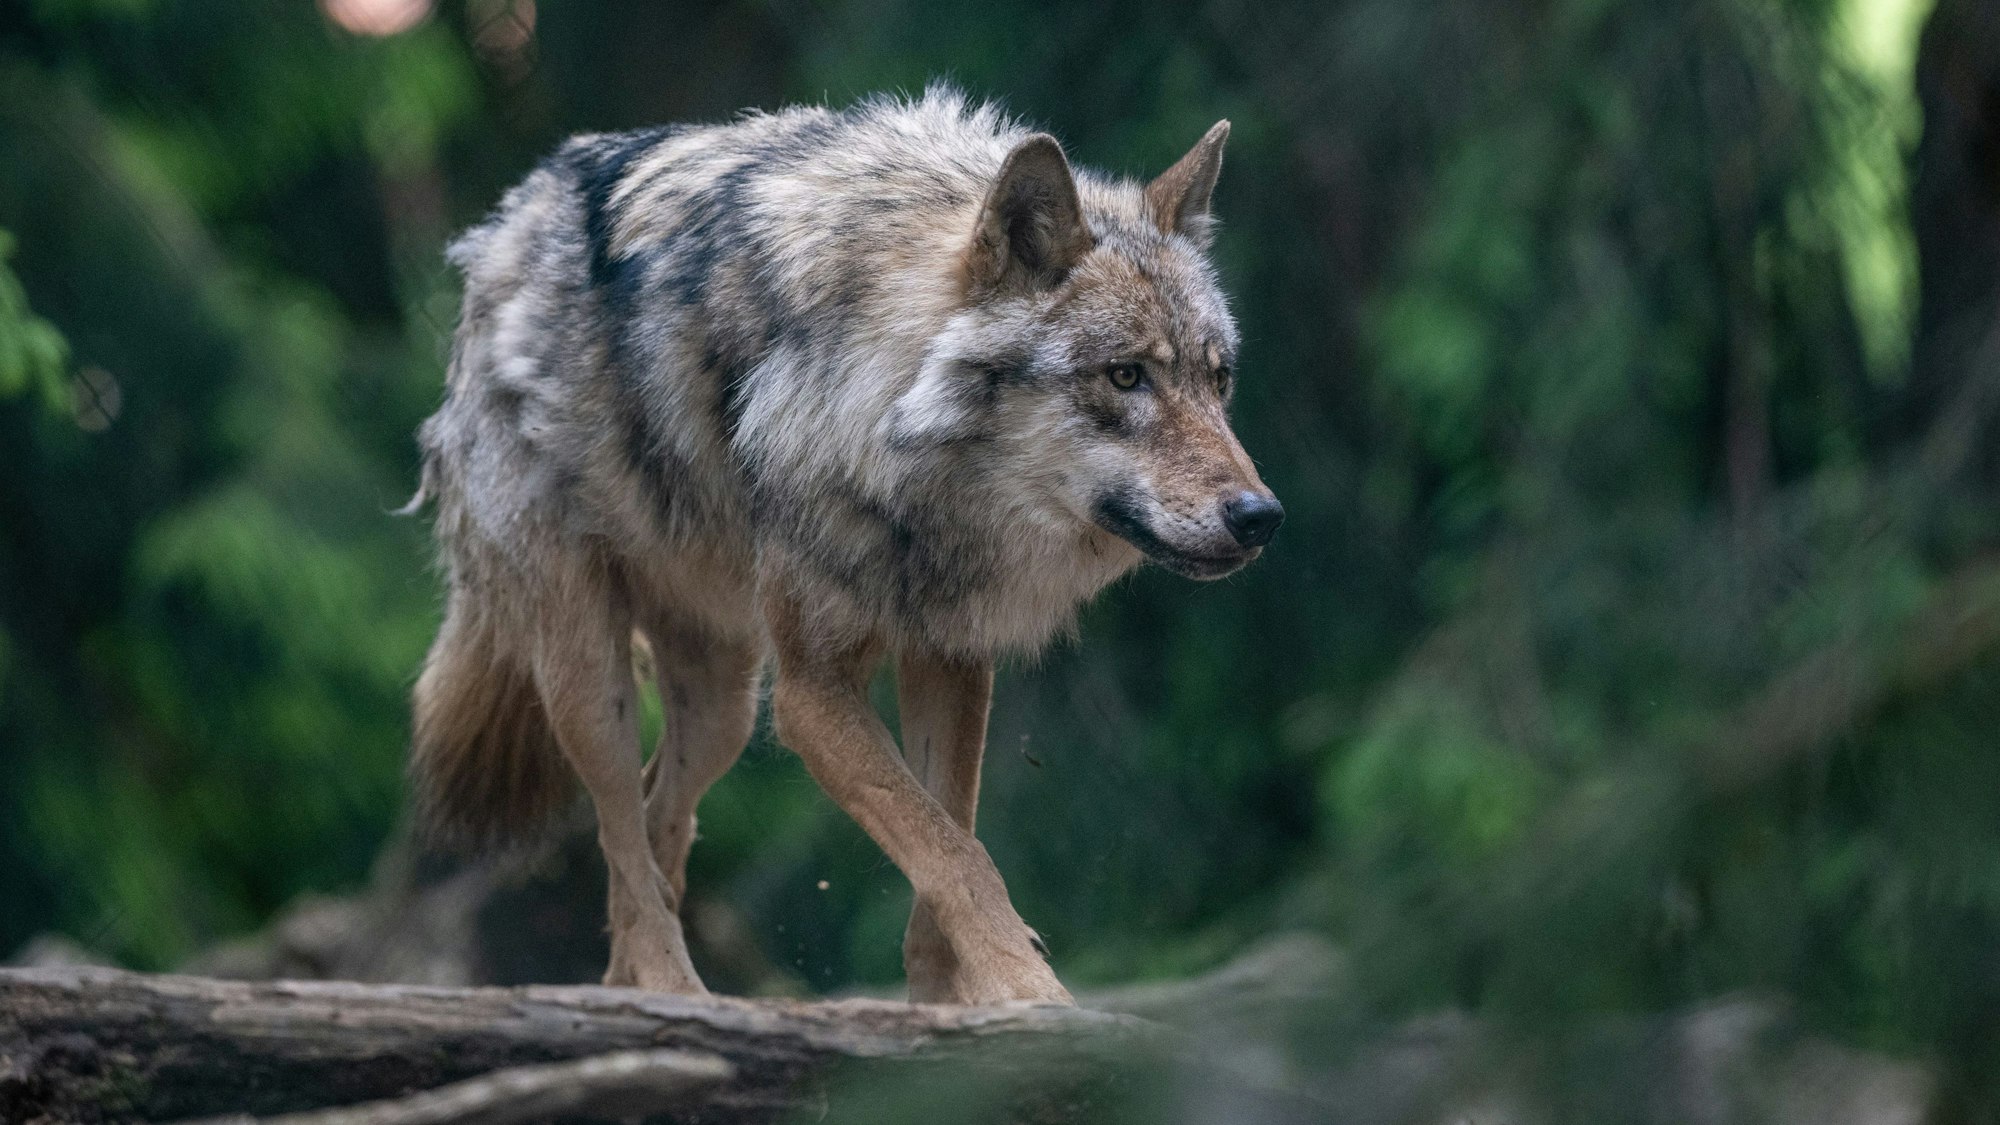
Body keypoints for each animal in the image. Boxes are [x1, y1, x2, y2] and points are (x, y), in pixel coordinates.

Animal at [407, 89, 1282, 1006]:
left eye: (1218, 380)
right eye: (1124, 376)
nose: (1261, 515)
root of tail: (504, 224)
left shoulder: (949, 658)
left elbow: (948, 837)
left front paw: (948, 1004)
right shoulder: (811, 694)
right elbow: (955, 853)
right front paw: (1029, 992)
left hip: (721, 705)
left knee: (655, 827)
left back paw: (639, 988)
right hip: (594, 677)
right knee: (621, 833)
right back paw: (670, 990)